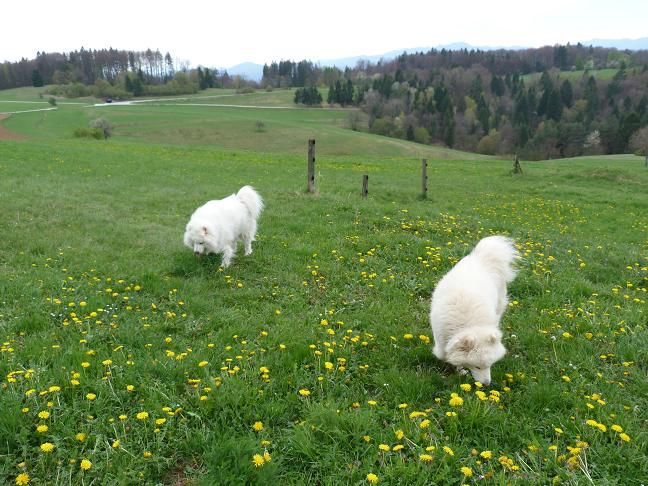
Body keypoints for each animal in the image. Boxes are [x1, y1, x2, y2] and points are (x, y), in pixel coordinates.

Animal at [432, 236, 520, 388]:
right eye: (477, 367)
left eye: (490, 365)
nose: (486, 384)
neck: (471, 325)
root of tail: (482, 257)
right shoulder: (441, 334)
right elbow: (446, 353)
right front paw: (459, 368)